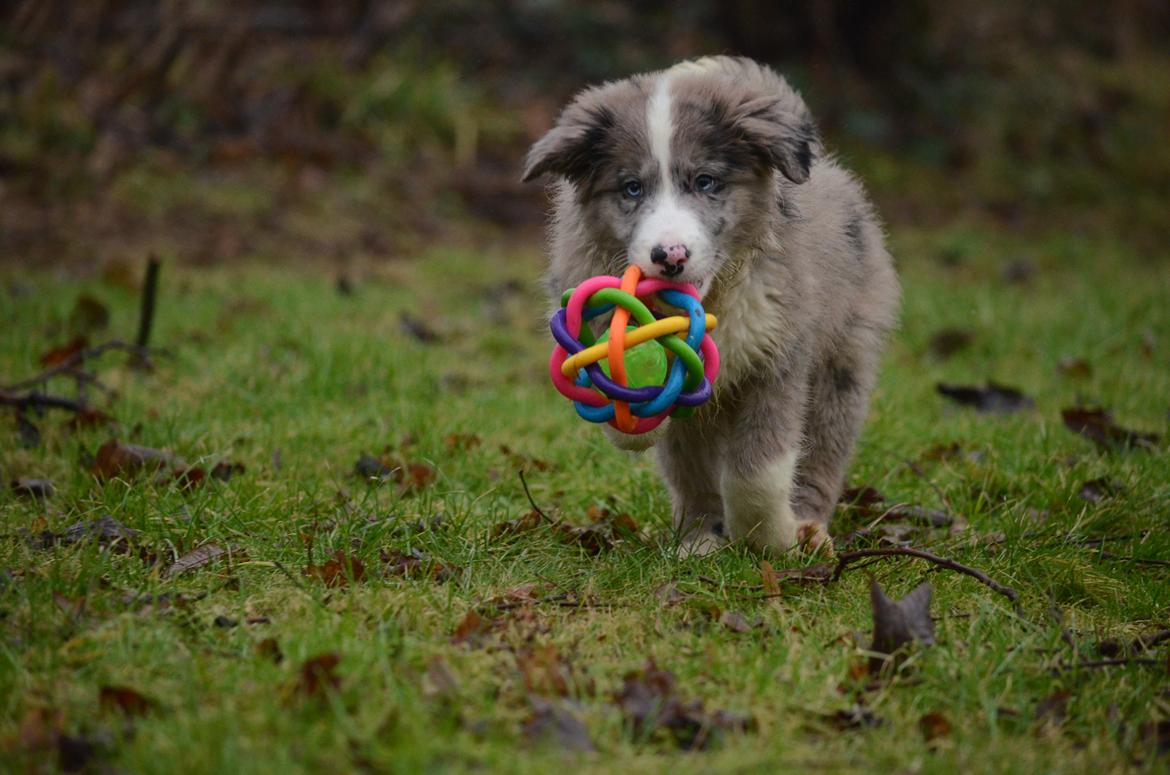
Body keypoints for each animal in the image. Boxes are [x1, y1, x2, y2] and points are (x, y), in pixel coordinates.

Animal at [526, 57, 898, 559]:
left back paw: (809, 527)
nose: (670, 256)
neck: (714, 298)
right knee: (691, 471)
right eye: (631, 189)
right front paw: (634, 418)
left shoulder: (779, 355)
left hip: (842, 364)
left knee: (823, 451)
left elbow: (757, 470)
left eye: (706, 182)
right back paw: (699, 538)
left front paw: (771, 538)